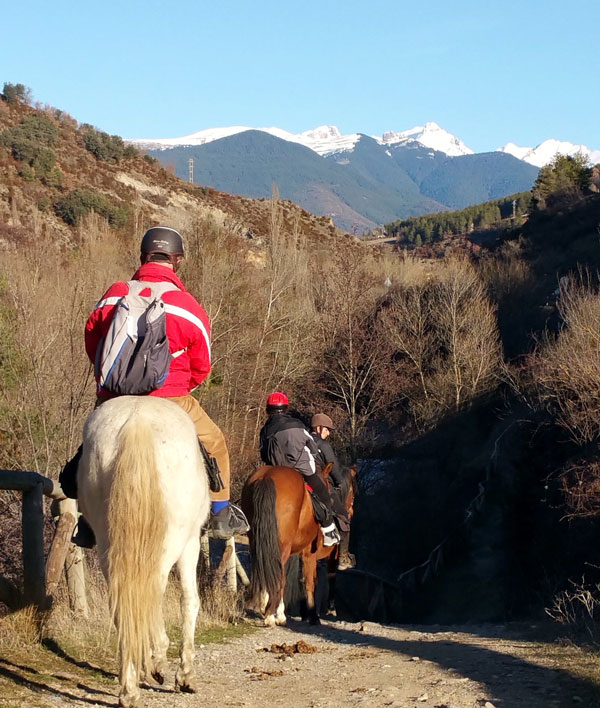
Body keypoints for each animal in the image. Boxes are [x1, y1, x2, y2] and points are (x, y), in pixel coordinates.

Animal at [77, 398, 210, 708]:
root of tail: (137, 420)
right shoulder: (190, 543)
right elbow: (190, 601)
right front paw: (184, 675)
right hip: (170, 544)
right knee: (152, 595)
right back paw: (156, 664)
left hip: (107, 544)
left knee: (122, 601)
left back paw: (129, 687)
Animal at [241, 464, 356, 624]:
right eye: (353, 491)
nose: (350, 511)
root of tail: (266, 476)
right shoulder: (314, 554)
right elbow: (314, 581)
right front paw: (315, 614)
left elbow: (300, 580)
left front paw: (304, 612)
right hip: (281, 549)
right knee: (279, 576)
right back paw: (272, 615)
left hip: (258, 544)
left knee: (264, 570)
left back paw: (266, 607)